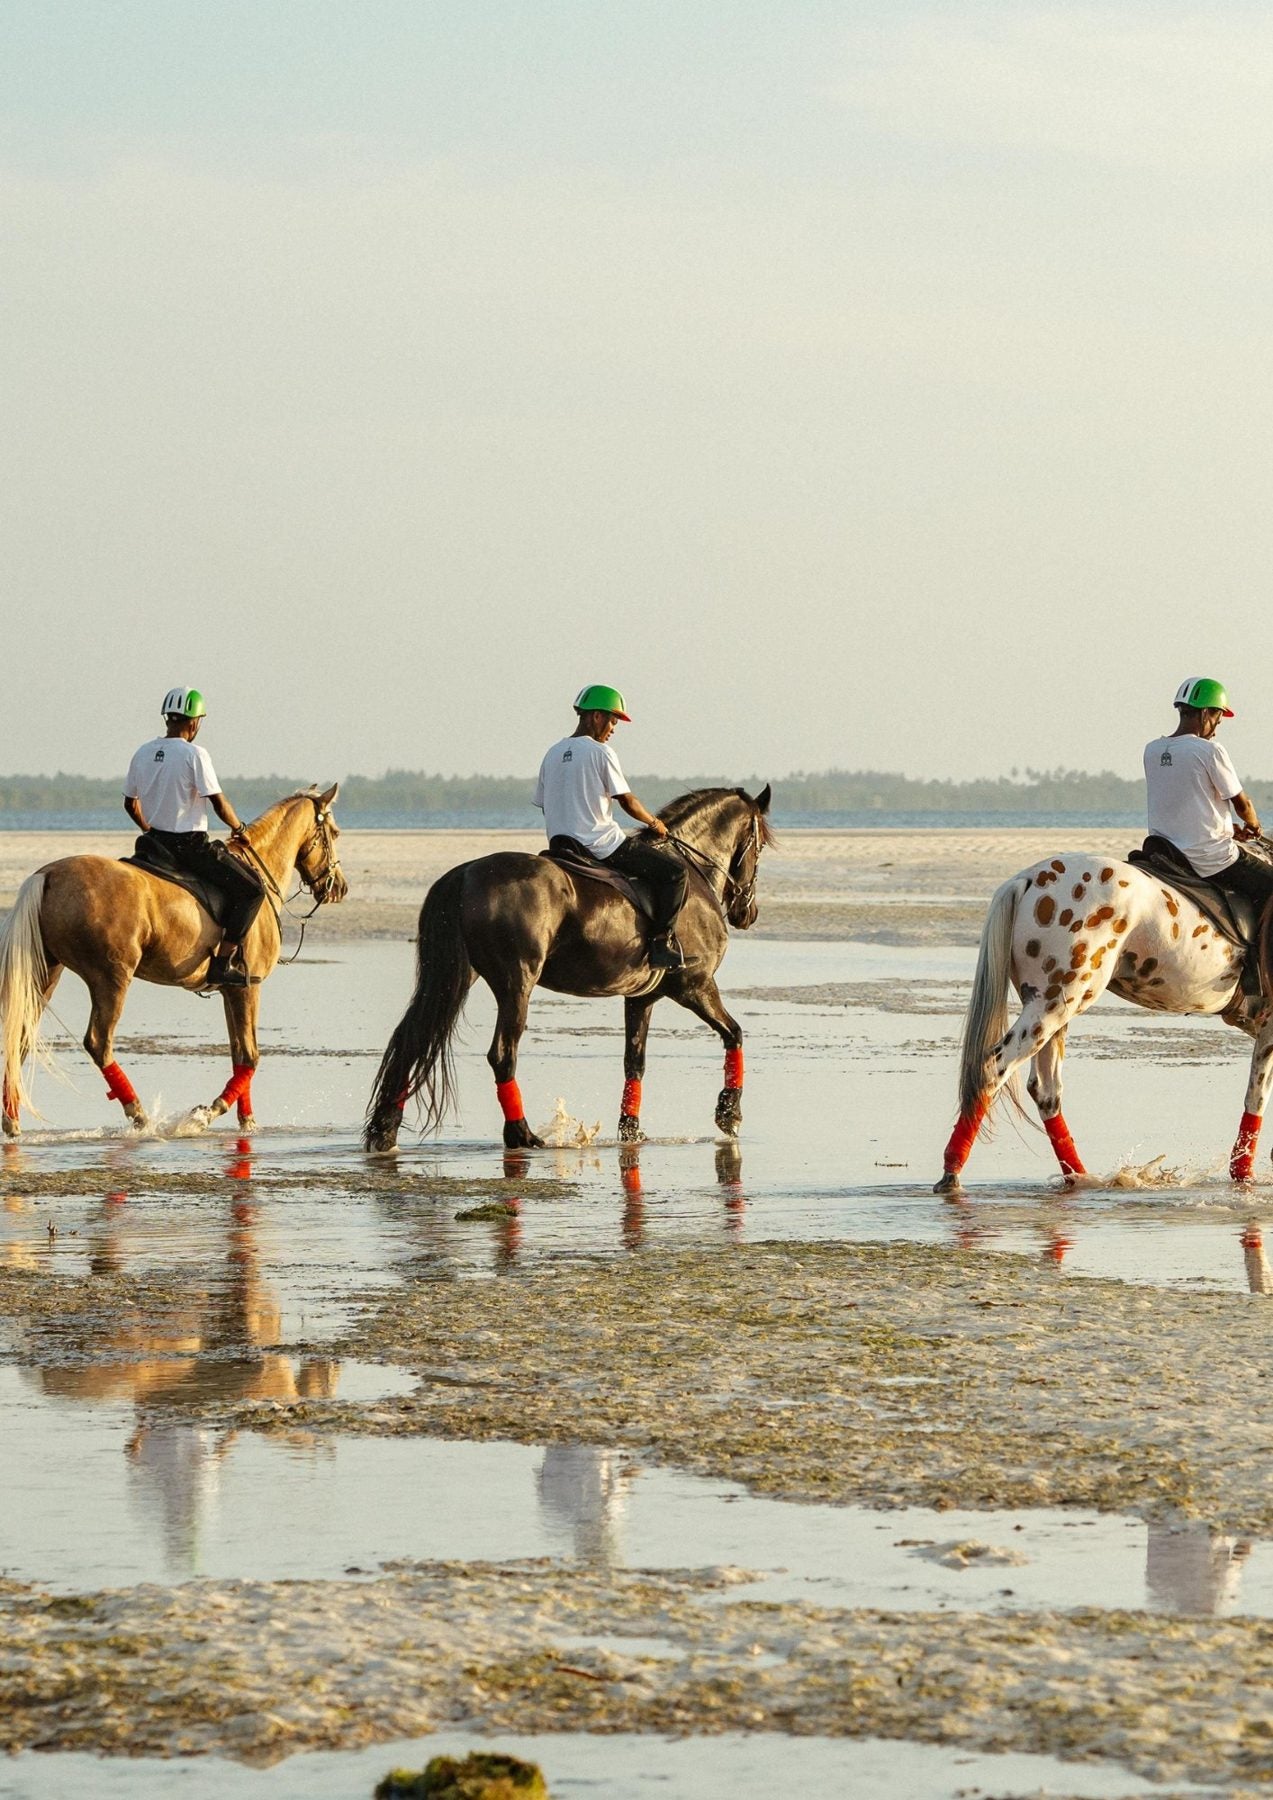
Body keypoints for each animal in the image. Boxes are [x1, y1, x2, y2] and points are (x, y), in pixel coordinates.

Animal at [0, 786, 347, 1137]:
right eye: (334, 833)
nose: (340, 888)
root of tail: (48, 874)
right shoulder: (249, 987)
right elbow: (250, 1056)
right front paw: (207, 1114)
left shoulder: (231, 991)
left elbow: (238, 1054)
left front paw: (245, 1121)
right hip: (111, 977)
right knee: (98, 1042)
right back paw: (139, 1115)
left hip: (46, 973)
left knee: (21, 1036)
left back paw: (12, 1119)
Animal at [364, 785, 773, 1152]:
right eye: (760, 846)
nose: (748, 912)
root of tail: (466, 873)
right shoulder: (695, 985)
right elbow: (735, 1034)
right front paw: (729, 1114)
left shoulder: (641, 998)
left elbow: (634, 1064)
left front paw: (630, 1131)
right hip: (517, 983)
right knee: (502, 1053)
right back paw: (522, 1134)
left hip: (457, 976)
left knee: (414, 1041)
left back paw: (385, 1131)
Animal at [936, 850, 1270, 1191]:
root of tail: (1026, 877)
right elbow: (1256, 1098)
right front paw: (1243, 1177)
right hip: (1053, 1006)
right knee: (994, 1067)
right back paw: (952, 1173)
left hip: (1052, 1007)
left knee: (1045, 1090)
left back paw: (1081, 1177)